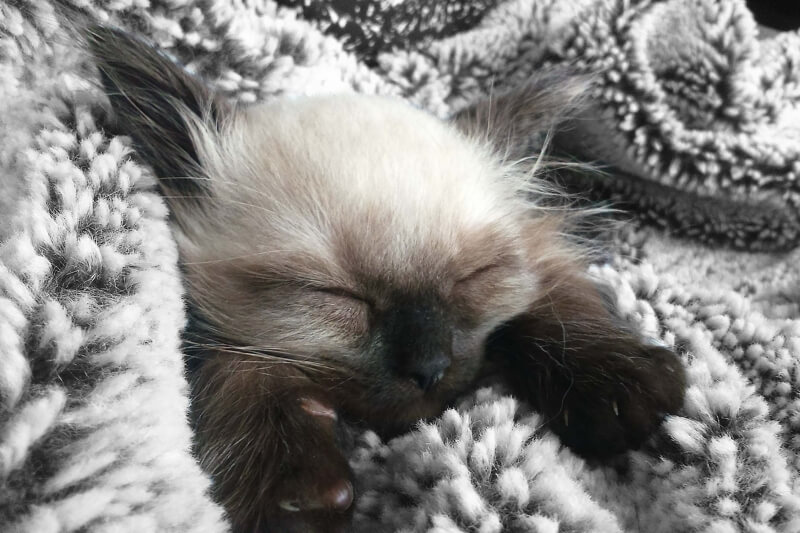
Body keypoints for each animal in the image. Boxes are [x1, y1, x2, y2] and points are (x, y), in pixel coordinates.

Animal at [86, 27, 688, 532]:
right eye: (335, 297)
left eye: (473, 279)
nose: (430, 369)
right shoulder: (211, 337)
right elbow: (240, 366)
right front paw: (293, 493)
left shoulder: (536, 254)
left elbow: (552, 304)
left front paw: (621, 387)